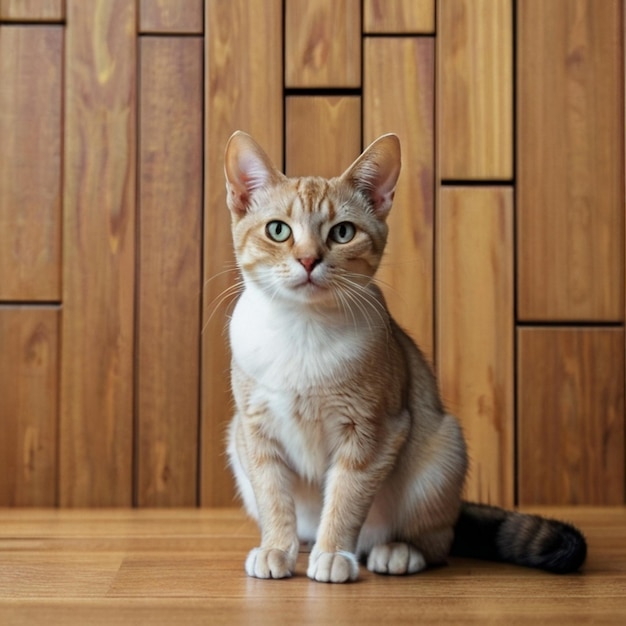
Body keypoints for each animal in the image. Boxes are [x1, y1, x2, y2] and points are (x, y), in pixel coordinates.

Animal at [221, 129, 584, 584]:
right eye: (277, 230)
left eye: (342, 232)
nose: (308, 260)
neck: (302, 331)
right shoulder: (255, 431)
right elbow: (273, 497)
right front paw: (275, 548)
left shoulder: (372, 431)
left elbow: (345, 498)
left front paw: (334, 553)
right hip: (235, 442)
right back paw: (304, 543)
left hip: (442, 454)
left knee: (437, 541)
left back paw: (397, 551)